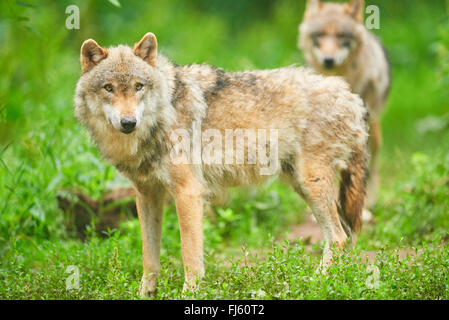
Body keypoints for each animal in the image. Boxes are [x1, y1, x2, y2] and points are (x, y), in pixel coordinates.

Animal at [73, 32, 368, 298]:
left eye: (138, 86)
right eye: (108, 88)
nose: (128, 122)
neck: (161, 119)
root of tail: (351, 95)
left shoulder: (188, 192)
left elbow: (189, 253)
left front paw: (190, 293)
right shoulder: (147, 195)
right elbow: (149, 255)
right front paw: (145, 293)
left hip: (311, 185)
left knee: (339, 237)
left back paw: (317, 283)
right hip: (303, 186)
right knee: (343, 236)